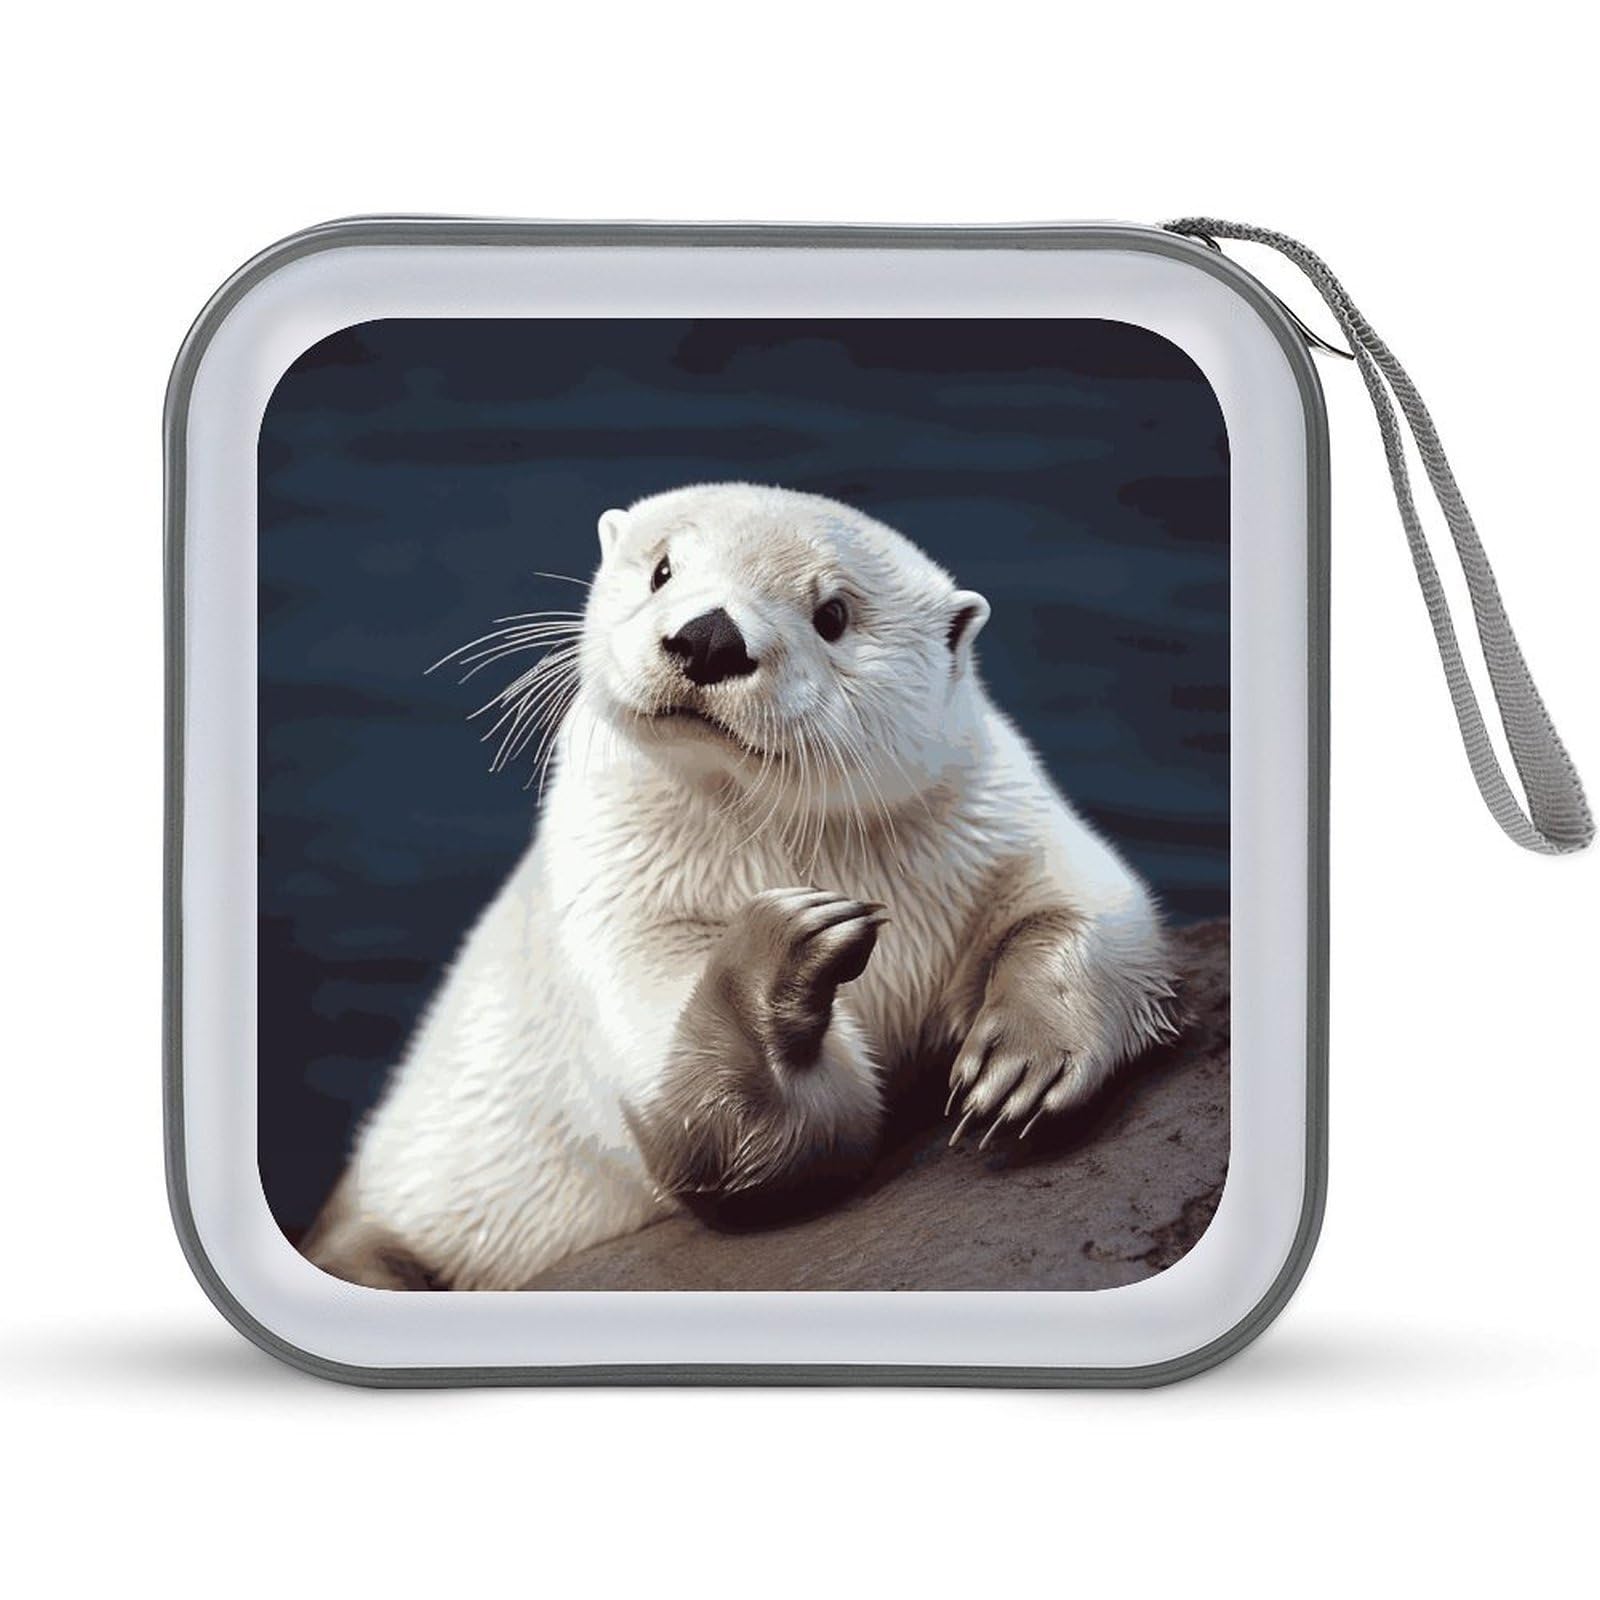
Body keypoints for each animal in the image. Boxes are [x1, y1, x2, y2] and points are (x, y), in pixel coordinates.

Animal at [301, 484, 1177, 1290]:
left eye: (833, 614)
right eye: (661, 568)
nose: (710, 633)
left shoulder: (999, 817)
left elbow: (1092, 911)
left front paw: (1025, 1060)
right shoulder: (618, 913)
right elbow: (751, 1132)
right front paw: (785, 950)